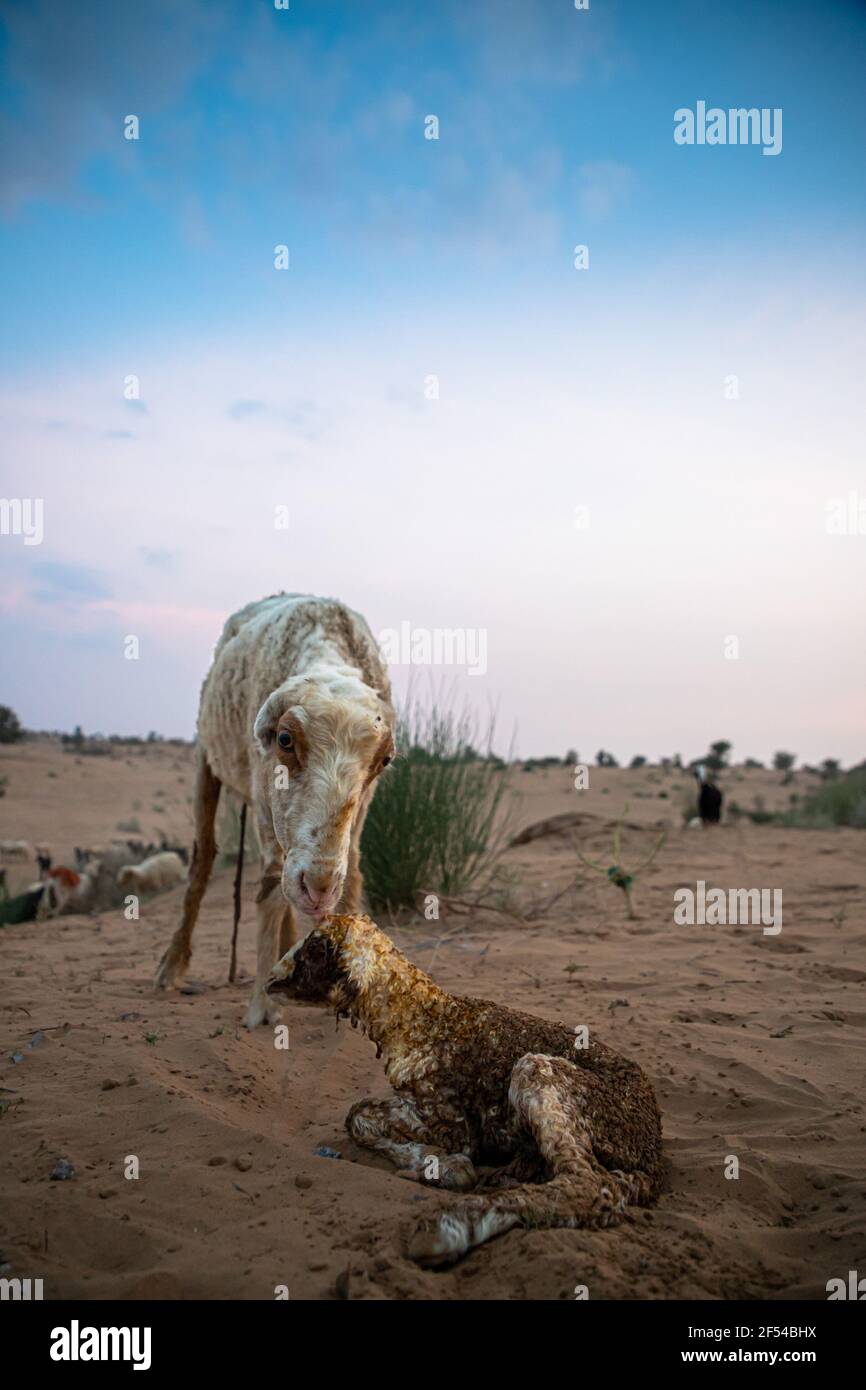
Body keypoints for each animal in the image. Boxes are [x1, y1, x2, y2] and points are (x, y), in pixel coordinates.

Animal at [265, 917, 664, 1267]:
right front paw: (437, 1165)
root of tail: (652, 1157)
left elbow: (359, 1114)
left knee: (590, 1187)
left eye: (315, 947)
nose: (270, 979)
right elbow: (361, 1115)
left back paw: (446, 1229)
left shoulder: (450, 1122)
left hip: (540, 1073)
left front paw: (447, 1167)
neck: (420, 1020)